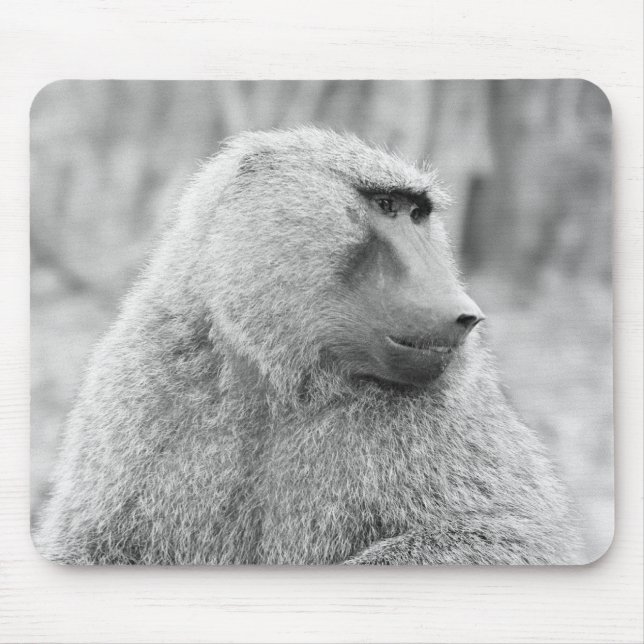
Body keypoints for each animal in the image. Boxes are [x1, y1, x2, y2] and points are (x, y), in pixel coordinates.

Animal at [34, 127, 582, 565]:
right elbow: (92, 543)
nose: (466, 314)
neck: (281, 381)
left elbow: (513, 536)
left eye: (418, 214)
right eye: (385, 206)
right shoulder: (138, 380)